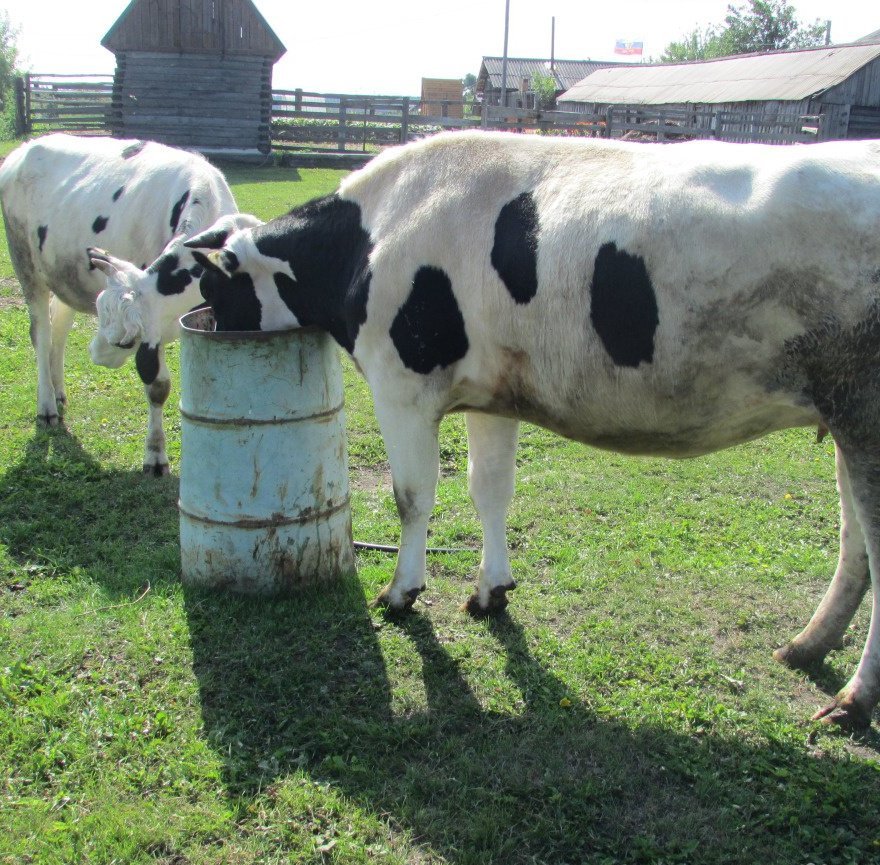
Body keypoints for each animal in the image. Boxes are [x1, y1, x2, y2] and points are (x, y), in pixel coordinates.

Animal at [0, 132, 260, 476]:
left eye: (125, 341)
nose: (96, 354)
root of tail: (26, 147)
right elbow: (158, 386)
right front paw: (155, 456)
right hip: (24, 262)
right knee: (41, 333)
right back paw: (46, 406)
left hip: (64, 274)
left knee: (60, 327)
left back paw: (58, 393)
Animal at [187, 130, 880, 728]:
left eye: (215, 291)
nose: (210, 333)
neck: (371, 236)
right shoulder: (491, 394)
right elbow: (489, 490)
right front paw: (490, 592)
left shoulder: (402, 383)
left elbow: (413, 497)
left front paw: (402, 593)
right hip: (844, 422)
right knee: (856, 545)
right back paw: (806, 647)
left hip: (865, 417)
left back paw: (853, 698)